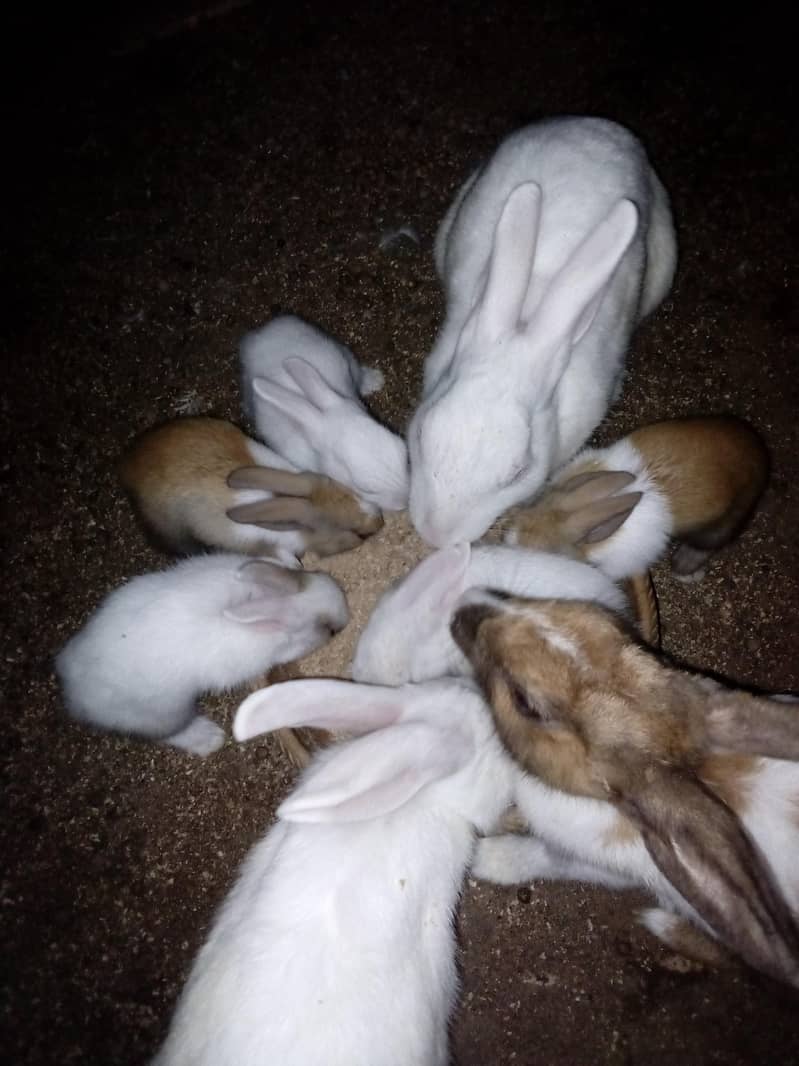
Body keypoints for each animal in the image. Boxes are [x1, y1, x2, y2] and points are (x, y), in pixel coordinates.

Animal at [54, 555, 349, 756]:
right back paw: (209, 738)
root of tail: (70, 684)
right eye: (330, 630)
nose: (346, 617)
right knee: (167, 733)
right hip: (164, 712)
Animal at [498, 414, 769, 581]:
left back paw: (685, 570)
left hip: (724, 522)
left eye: (548, 553)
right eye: (531, 507)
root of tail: (758, 450)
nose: (508, 541)